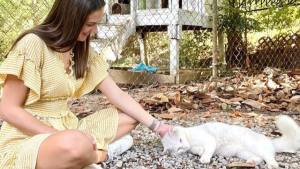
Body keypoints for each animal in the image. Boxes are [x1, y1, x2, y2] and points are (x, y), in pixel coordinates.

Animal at [161, 115, 300, 169]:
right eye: (178, 149)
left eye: (180, 140)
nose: (184, 147)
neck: (190, 138)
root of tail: (270, 140)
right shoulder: (192, 147)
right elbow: (196, 149)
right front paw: (200, 151)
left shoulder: (209, 140)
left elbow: (207, 150)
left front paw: (204, 157)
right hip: (243, 153)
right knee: (259, 158)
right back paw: (251, 162)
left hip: (255, 146)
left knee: (270, 157)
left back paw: (272, 165)